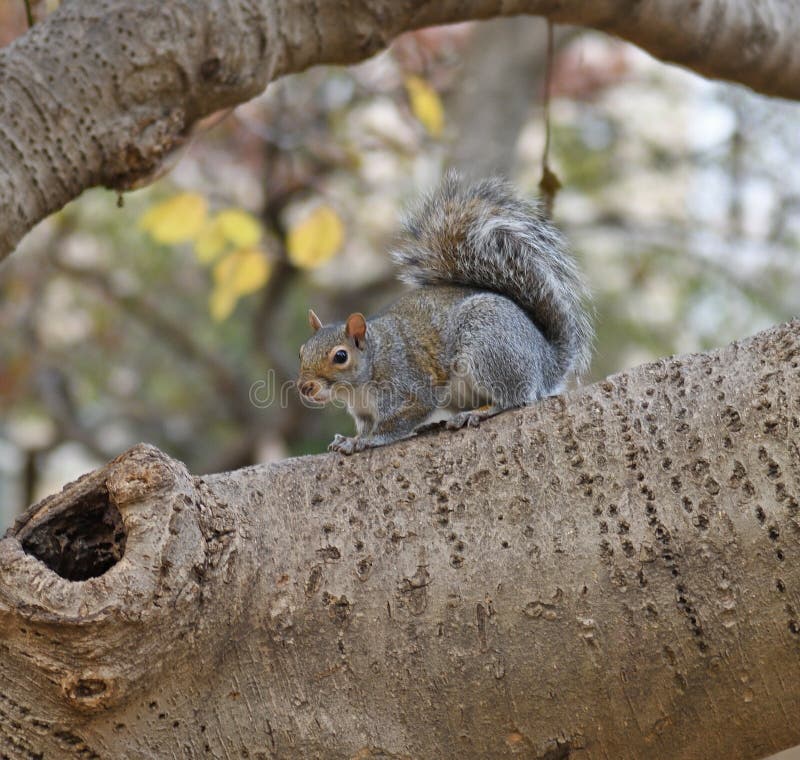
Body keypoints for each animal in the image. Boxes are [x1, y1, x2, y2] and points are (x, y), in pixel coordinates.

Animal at [296, 172, 592, 454]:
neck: (368, 370)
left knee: (512, 398)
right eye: (302, 352)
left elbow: (395, 423)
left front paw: (365, 442)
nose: (304, 387)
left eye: (341, 356)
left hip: (491, 349)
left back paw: (478, 413)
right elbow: (367, 426)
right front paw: (350, 438)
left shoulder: (410, 388)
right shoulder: (364, 413)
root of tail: (546, 362)